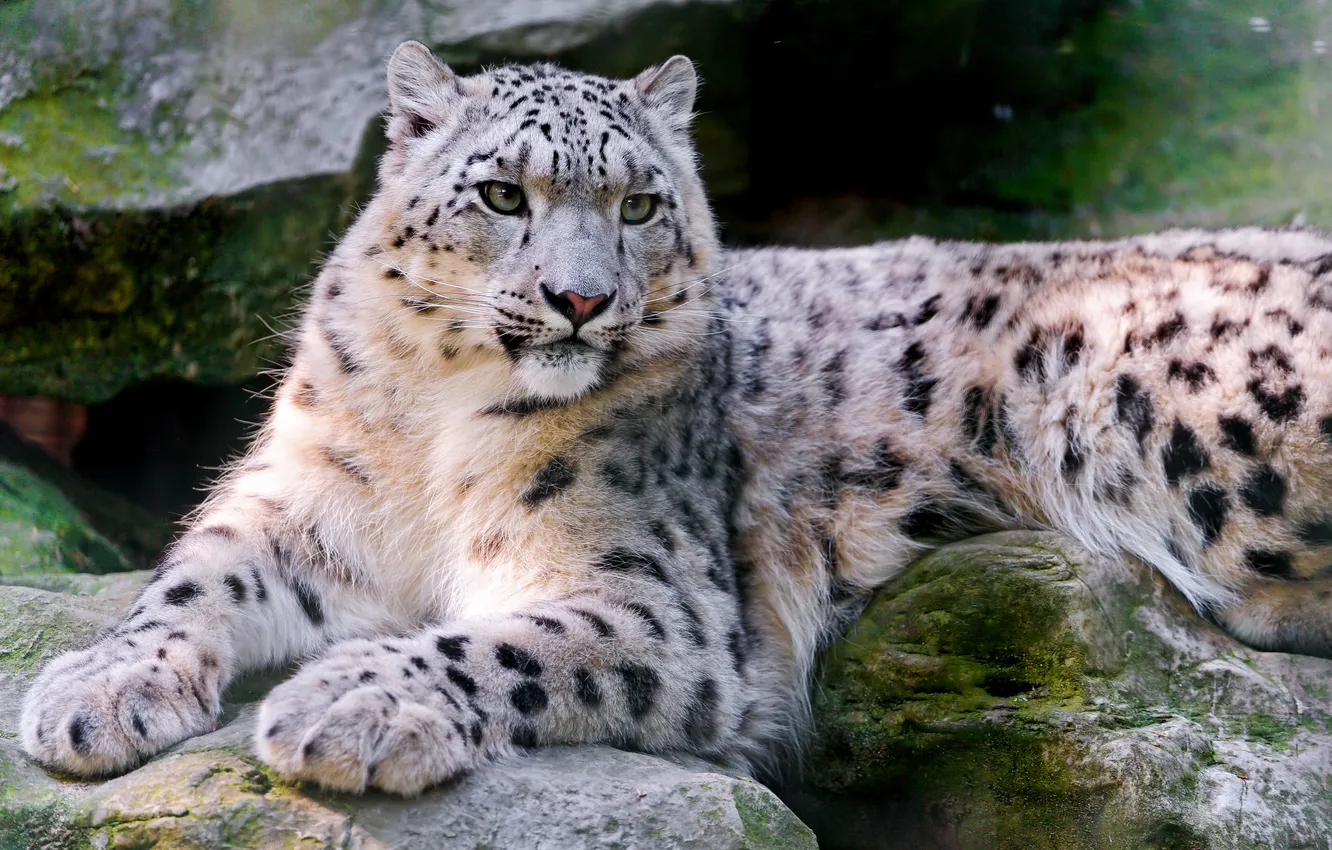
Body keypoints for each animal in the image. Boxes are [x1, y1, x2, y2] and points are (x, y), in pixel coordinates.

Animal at [20, 41, 1332, 796]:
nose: (581, 297)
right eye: (504, 193)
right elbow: (194, 578)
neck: (436, 421)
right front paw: (93, 690)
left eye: (642, 203)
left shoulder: (660, 599)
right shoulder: (303, 502)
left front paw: (346, 703)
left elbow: (501, 644)